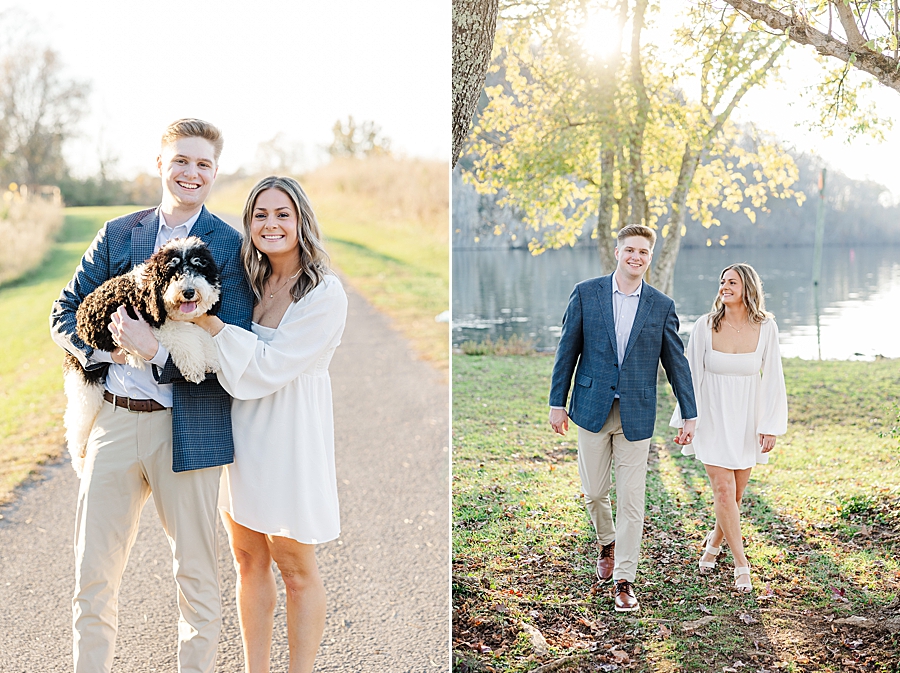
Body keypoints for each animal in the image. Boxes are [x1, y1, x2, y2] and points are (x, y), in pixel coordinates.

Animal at [63, 239, 221, 476]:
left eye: (198, 266)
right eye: (172, 271)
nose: (188, 291)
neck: (148, 288)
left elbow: (200, 333)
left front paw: (211, 356)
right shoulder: (151, 324)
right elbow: (184, 335)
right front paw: (194, 365)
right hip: (84, 385)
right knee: (75, 424)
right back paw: (80, 463)